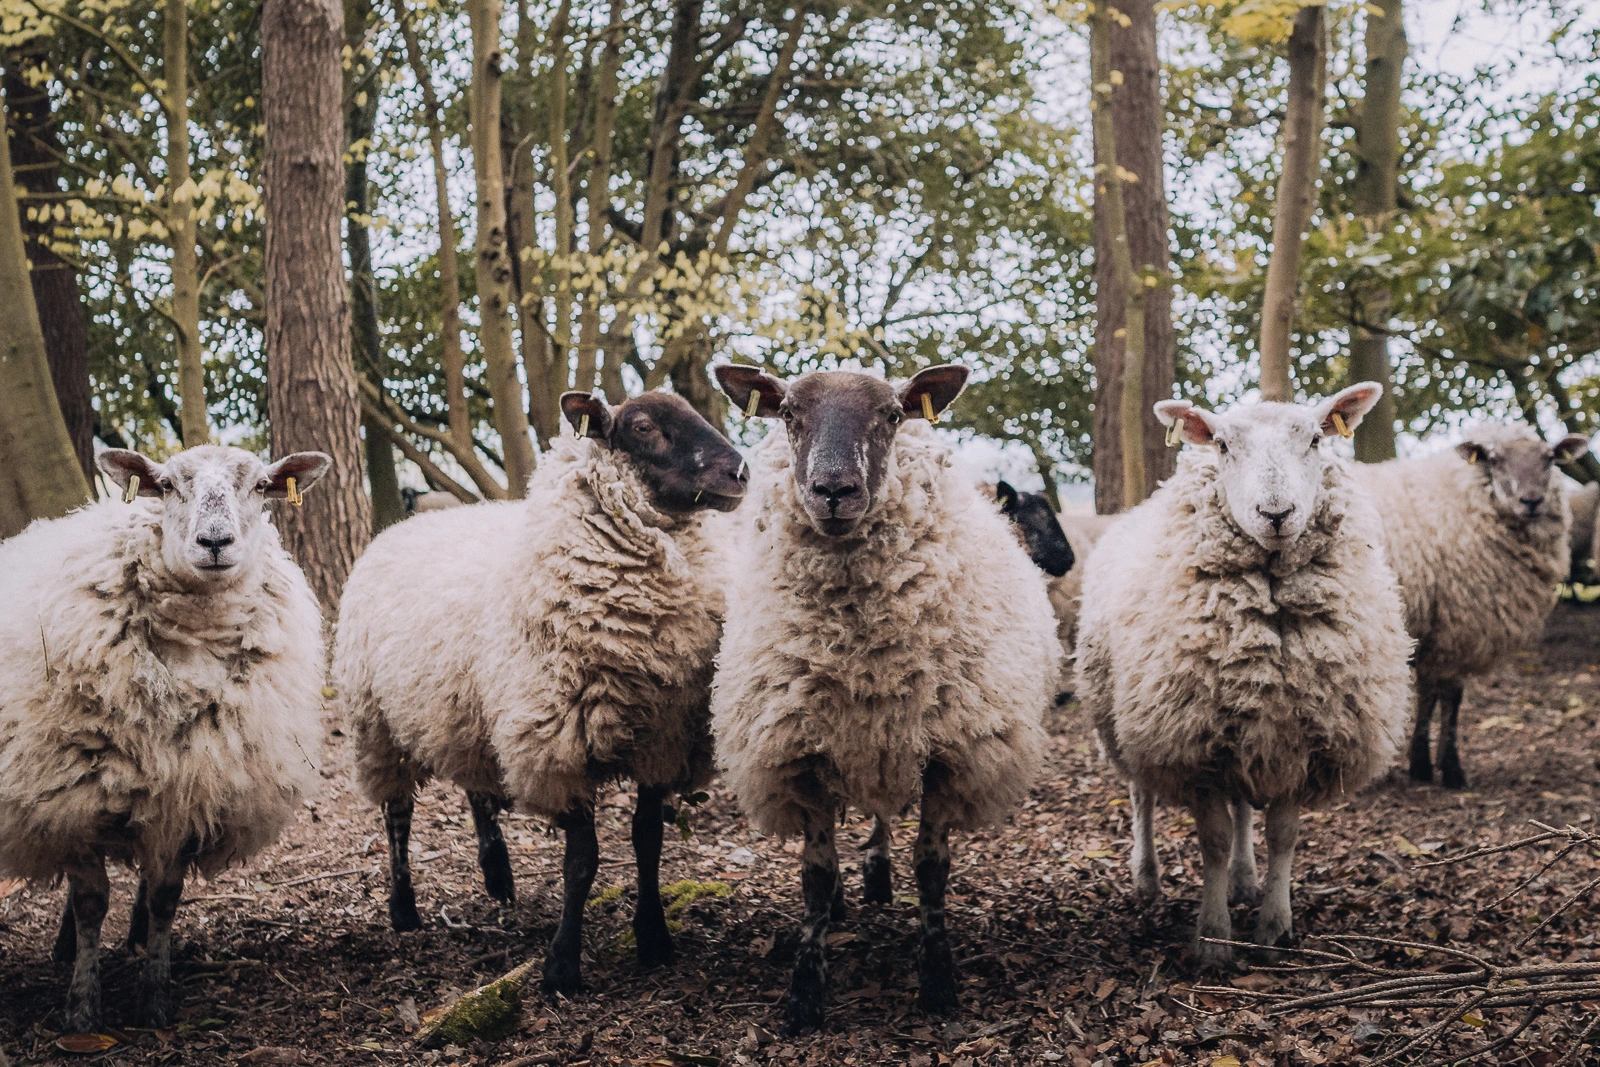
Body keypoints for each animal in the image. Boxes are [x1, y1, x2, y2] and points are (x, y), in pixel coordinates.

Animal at [0, 445, 331, 1030]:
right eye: (169, 485)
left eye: (262, 486)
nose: (215, 541)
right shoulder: (71, 799)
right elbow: (90, 905)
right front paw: (82, 1007)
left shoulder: (192, 793)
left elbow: (165, 898)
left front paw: (155, 993)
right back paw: (68, 948)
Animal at [335, 389, 747, 996]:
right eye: (643, 427)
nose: (741, 472)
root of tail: (404, 524)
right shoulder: (558, 744)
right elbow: (583, 861)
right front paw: (561, 966)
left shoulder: (663, 739)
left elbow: (648, 841)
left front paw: (653, 938)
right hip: (377, 725)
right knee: (398, 815)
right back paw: (404, 908)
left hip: (466, 712)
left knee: (478, 790)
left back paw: (498, 875)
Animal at [710, 364, 1059, 1033]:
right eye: (788, 413)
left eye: (893, 415)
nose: (833, 491)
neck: (860, 650)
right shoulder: (803, 755)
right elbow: (815, 874)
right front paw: (805, 990)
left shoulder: (948, 753)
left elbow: (931, 868)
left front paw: (938, 980)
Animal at [1076, 385, 1413, 966]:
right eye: (1223, 445)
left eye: (1317, 439)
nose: (1275, 513)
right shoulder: (1194, 744)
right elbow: (1210, 841)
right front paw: (1213, 939)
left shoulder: (1299, 740)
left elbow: (1282, 835)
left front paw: (1273, 926)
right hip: (1131, 723)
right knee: (1141, 796)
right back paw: (1147, 878)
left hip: (1247, 725)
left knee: (1241, 810)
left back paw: (1244, 879)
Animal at [1353, 422, 1591, 790]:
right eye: (1494, 459)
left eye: (1550, 458)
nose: (1531, 501)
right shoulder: (1457, 625)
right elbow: (1450, 697)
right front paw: (1446, 769)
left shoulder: (1436, 632)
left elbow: (1430, 695)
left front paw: (1424, 764)